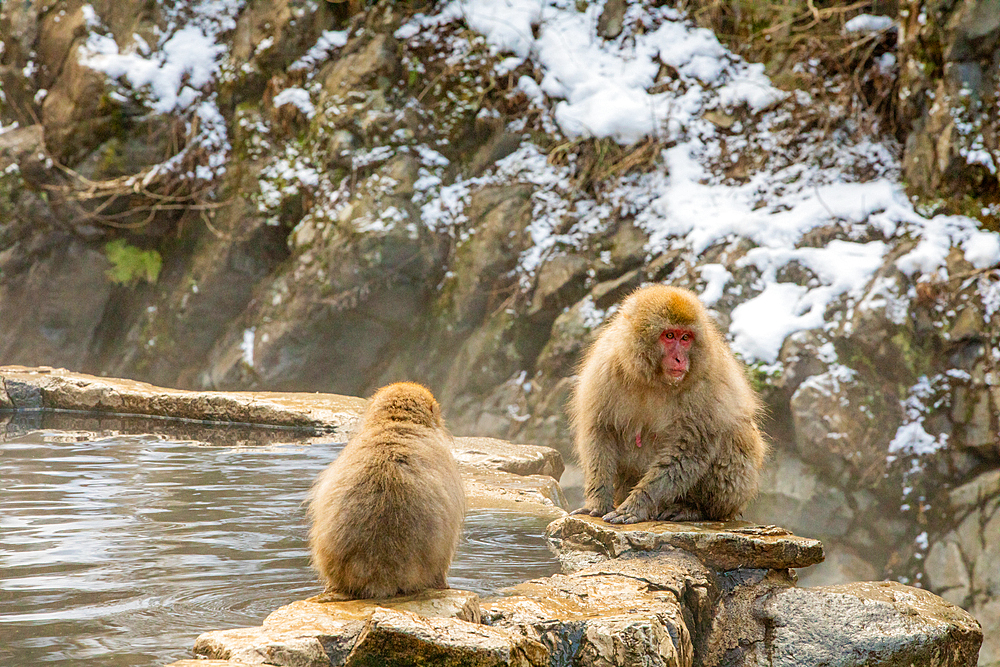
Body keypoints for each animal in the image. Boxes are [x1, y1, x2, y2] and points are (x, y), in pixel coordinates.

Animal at [572, 284, 764, 524]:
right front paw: (597, 502)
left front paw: (637, 505)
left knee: (735, 432)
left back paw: (693, 509)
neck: (652, 380)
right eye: (670, 336)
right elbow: (600, 431)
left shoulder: (707, 385)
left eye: (686, 338)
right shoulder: (604, 368)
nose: (680, 359)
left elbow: (688, 449)